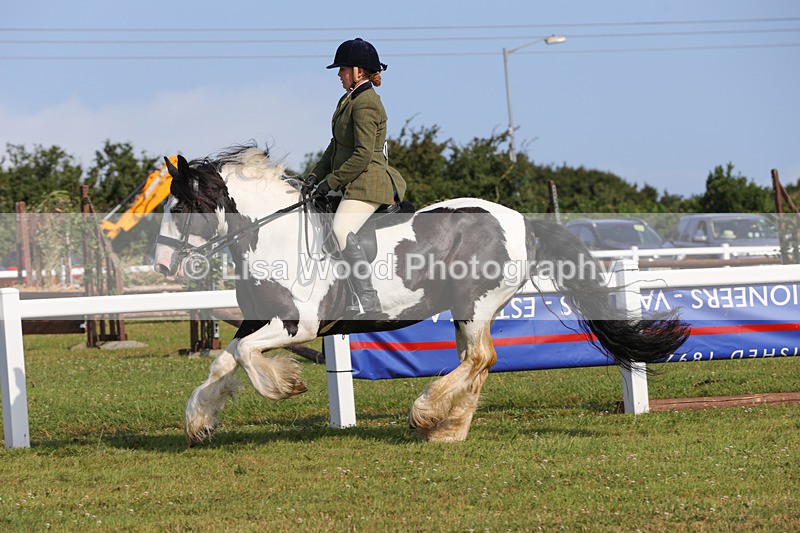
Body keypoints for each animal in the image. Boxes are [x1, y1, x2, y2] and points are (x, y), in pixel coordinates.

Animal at [153, 145, 689, 446]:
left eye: (181, 207)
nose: (161, 265)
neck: (272, 235)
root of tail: (522, 221)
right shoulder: (256, 320)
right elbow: (224, 361)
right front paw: (198, 423)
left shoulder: (298, 324)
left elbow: (247, 356)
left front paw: (285, 384)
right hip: (467, 309)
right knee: (478, 362)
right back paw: (448, 431)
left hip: (475, 303)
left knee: (480, 358)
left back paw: (425, 414)